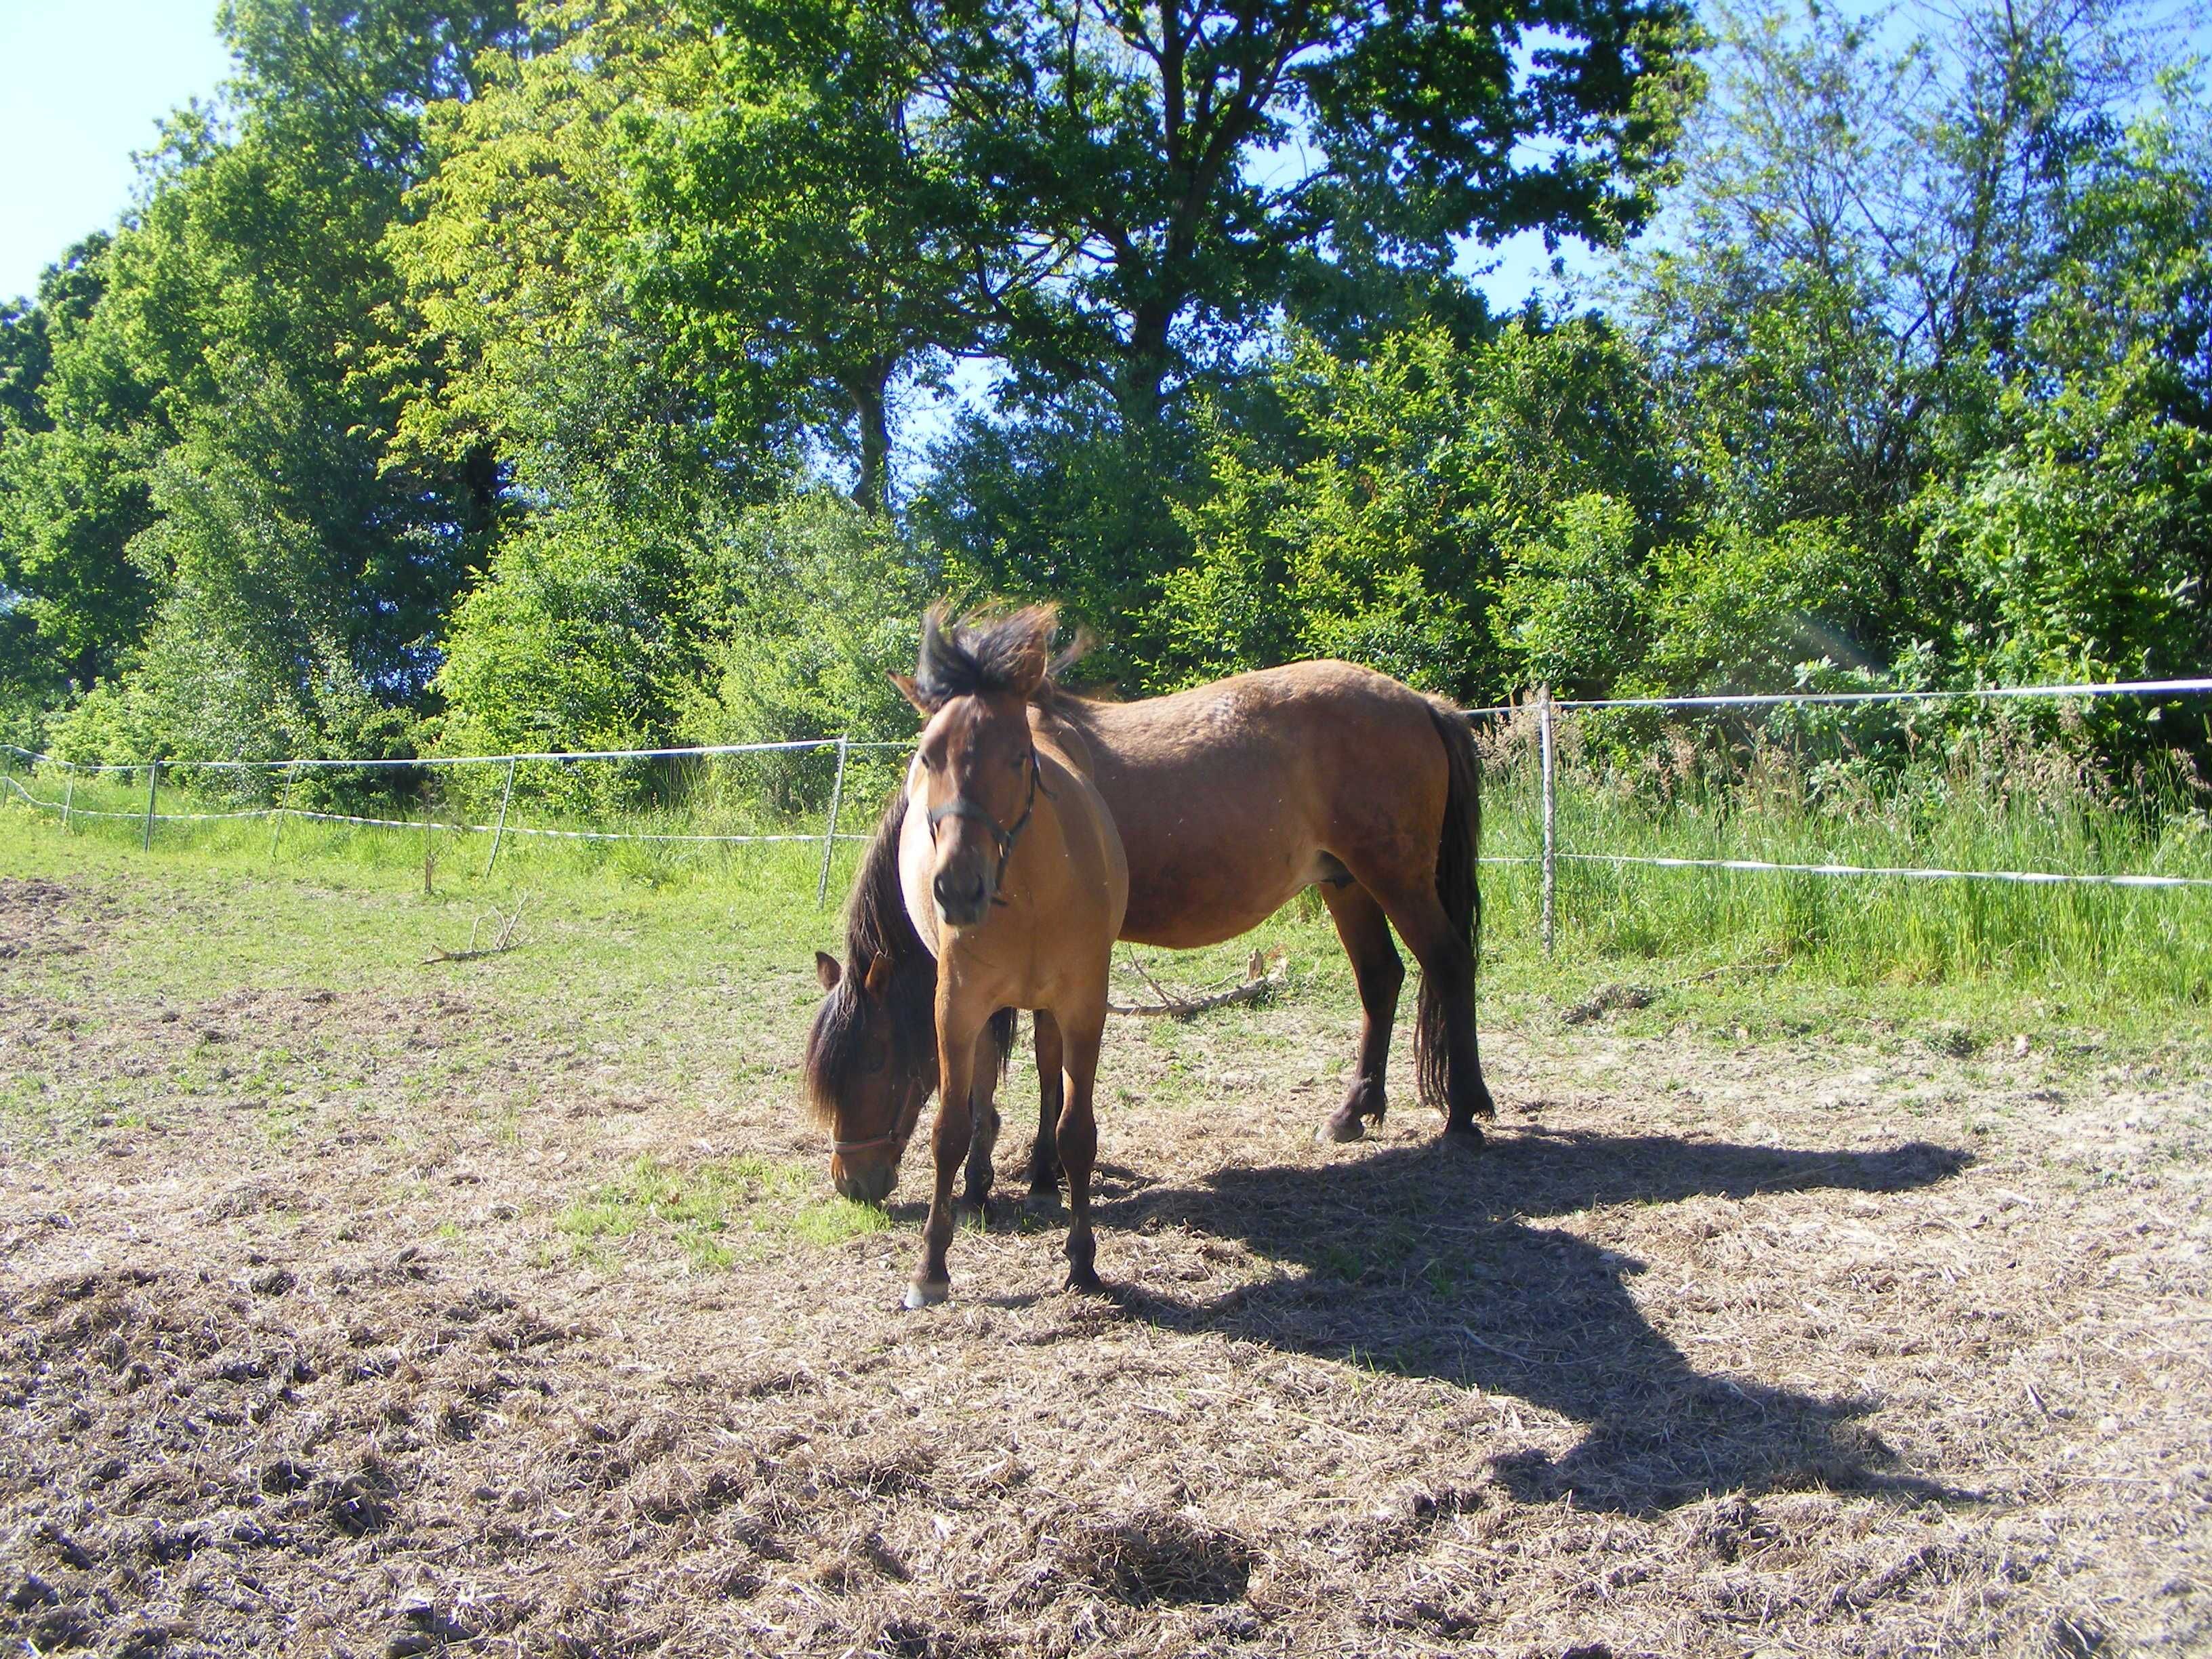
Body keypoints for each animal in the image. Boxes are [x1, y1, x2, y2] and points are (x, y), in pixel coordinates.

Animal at [805, 606, 1495, 1212]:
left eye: (874, 1059)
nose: (853, 1182)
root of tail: (1422, 703)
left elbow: (1037, 1063)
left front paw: (1032, 1175)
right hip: (1347, 883)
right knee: (1380, 978)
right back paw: (1353, 1113)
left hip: (1397, 878)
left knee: (1448, 963)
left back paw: (1463, 1114)